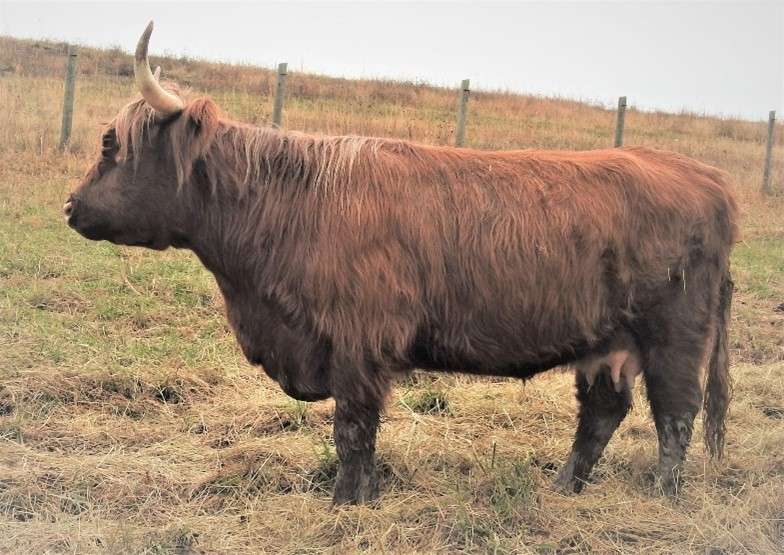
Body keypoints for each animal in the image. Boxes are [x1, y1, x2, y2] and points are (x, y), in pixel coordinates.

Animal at [64, 22, 738, 505]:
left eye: (109, 143)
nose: (70, 205)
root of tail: (703, 176)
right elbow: (360, 435)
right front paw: (364, 497)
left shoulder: (358, 345)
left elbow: (352, 431)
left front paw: (345, 503)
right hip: (607, 342)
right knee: (602, 413)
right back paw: (563, 488)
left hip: (675, 335)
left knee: (676, 414)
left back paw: (664, 497)